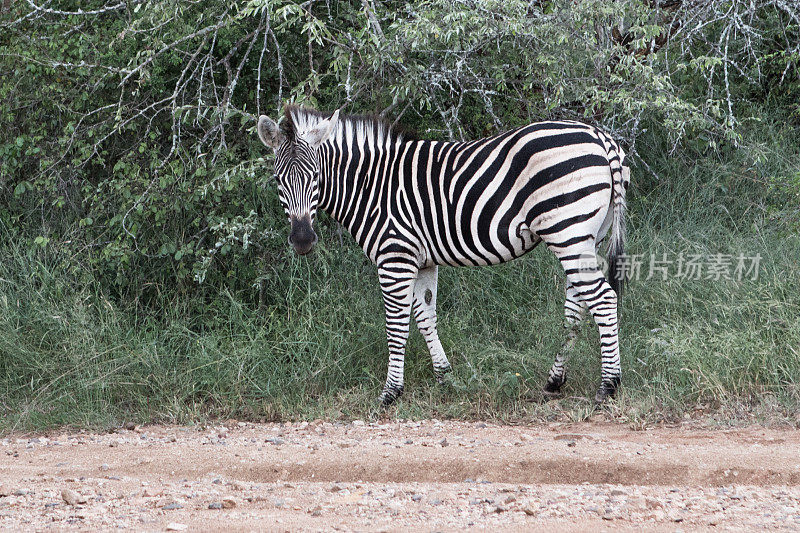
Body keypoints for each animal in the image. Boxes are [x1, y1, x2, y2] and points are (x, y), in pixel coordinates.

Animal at [256, 104, 632, 406]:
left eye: (316, 176)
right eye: (277, 179)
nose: (302, 240)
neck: (370, 185)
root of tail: (600, 137)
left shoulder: (395, 256)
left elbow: (397, 325)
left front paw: (391, 392)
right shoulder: (422, 261)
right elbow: (425, 317)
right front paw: (445, 377)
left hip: (567, 230)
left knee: (603, 299)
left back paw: (608, 387)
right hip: (585, 237)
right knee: (576, 306)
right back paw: (555, 381)